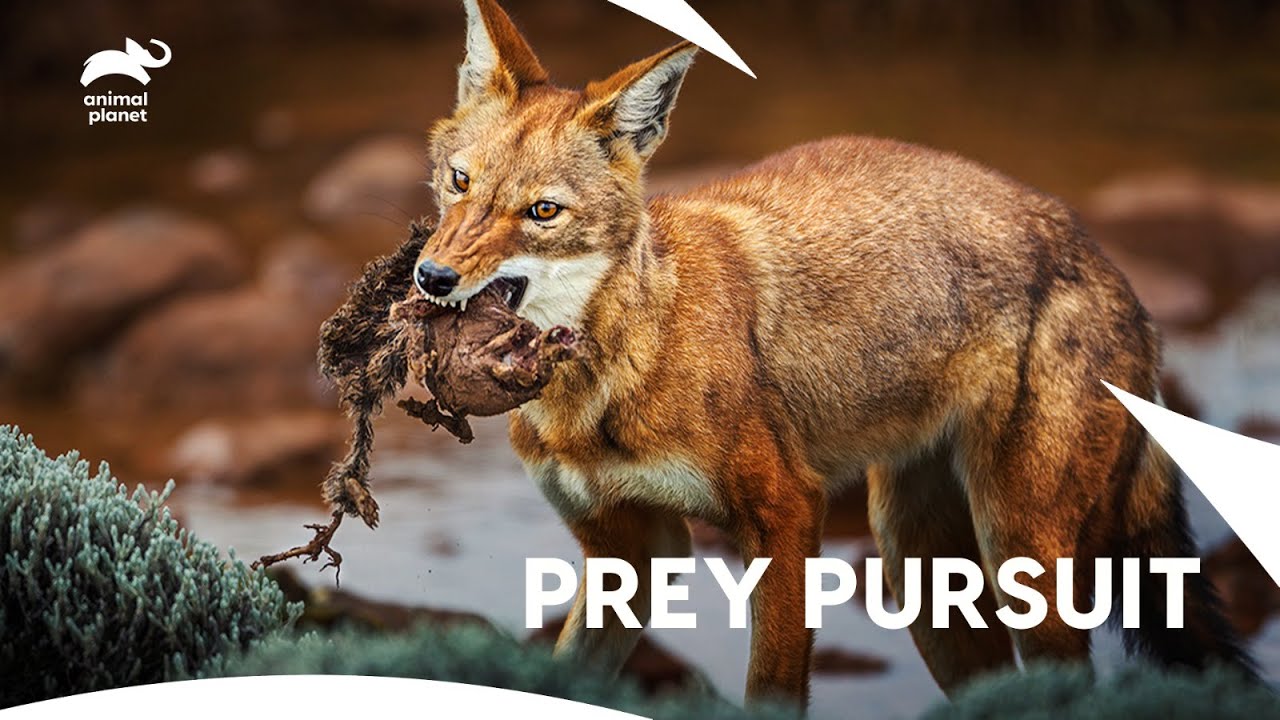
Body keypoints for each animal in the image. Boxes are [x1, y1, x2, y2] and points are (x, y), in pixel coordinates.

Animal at [410, 0, 1255, 707]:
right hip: (919, 569)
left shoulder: (787, 517)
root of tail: (1110, 266)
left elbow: (772, 691)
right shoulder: (635, 554)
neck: (607, 379)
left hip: (1019, 556)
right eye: (460, 182)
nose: (431, 276)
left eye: (542, 212)